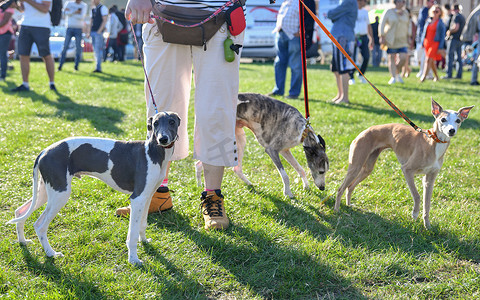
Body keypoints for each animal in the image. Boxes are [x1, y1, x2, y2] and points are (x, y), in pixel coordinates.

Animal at [7, 111, 180, 264]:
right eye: (155, 123)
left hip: (46, 192)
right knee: (40, 225)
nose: (163, 139)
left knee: (20, 211)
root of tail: (44, 151)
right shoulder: (137, 198)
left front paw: (144, 241)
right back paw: (51, 253)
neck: (153, 152)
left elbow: (142, 224)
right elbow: (132, 232)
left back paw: (23, 241)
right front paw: (133, 259)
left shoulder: (147, 196)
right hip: (60, 195)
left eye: (172, 122)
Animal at [196, 92, 330, 198]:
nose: (322, 188)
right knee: (201, 162)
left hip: (240, 140)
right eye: (321, 171)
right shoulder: (272, 150)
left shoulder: (285, 150)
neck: (303, 130)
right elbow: (285, 176)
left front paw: (306, 186)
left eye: (326, 171)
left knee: (234, 168)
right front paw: (288, 193)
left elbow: (301, 169)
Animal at [336, 99, 474, 229]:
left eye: (458, 120)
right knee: (340, 188)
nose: (451, 131)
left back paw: (349, 205)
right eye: (443, 119)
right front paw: (414, 214)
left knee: (350, 187)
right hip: (356, 165)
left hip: (367, 168)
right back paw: (337, 210)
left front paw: (427, 225)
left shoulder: (430, 179)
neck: (433, 142)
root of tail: (364, 131)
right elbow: (417, 196)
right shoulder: (407, 170)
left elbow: (427, 204)